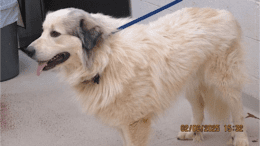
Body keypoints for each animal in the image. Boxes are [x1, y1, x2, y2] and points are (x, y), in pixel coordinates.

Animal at [23, 7, 250, 146]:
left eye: (55, 34)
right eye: (43, 31)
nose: (27, 50)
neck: (104, 59)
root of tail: (222, 12)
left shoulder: (135, 122)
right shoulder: (123, 121)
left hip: (224, 82)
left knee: (237, 108)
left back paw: (240, 137)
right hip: (188, 81)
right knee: (198, 106)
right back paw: (192, 131)